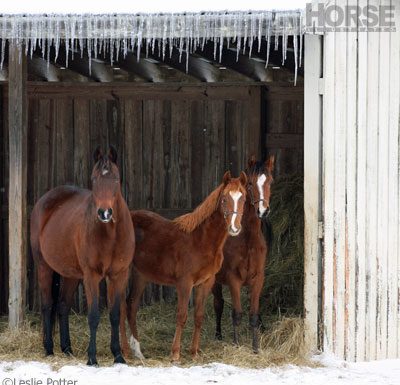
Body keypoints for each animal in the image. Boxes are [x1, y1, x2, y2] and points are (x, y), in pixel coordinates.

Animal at [31, 146, 134, 364]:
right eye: (94, 179)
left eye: (116, 179)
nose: (105, 213)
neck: (110, 235)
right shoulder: (91, 276)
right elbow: (93, 316)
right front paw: (92, 358)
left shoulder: (119, 275)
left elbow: (114, 315)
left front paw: (118, 356)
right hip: (44, 266)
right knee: (47, 305)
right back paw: (49, 349)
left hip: (70, 275)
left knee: (62, 305)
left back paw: (67, 349)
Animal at [119, 170, 247, 360]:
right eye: (224, 199)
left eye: (243, 198)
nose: (234, 228)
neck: (201, 240)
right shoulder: (184, 283)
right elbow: (182, 315)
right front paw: (175, 353)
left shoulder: (206, 282)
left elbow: (199, 316)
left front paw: (193, 353)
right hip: (123, 272)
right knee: (120, 307)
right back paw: (126, 352)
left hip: (141, 274)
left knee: (131, 305)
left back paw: (138, 352)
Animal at [212, 154, 276, 352]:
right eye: (250, 183)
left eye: (270, 181)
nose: (263, 211)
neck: (248, 240)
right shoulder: (234, 279)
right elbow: (237, 314)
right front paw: (236, 345)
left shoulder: (257, 278)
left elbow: (253, 315)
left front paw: (255, 348)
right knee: (218, 304)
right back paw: (218, 335)